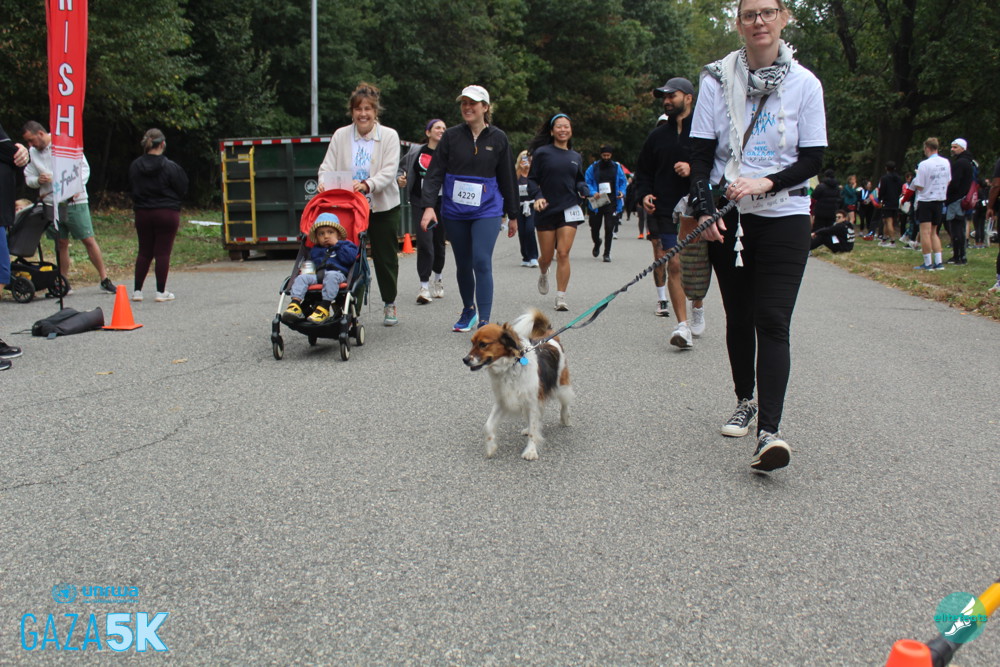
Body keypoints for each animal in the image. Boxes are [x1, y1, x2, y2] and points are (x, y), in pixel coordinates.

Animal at [463, 309, 573, 460]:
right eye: (472, 343)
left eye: (483, 344)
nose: (465, 360)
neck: (510, 366)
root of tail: (550, 338)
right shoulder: (503, 400)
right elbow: (488, 426)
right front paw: (491, 448)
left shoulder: (532, 402)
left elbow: (534, 429)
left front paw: (531, 451)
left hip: (561, 385)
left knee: (565, 402)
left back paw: (565, 418)